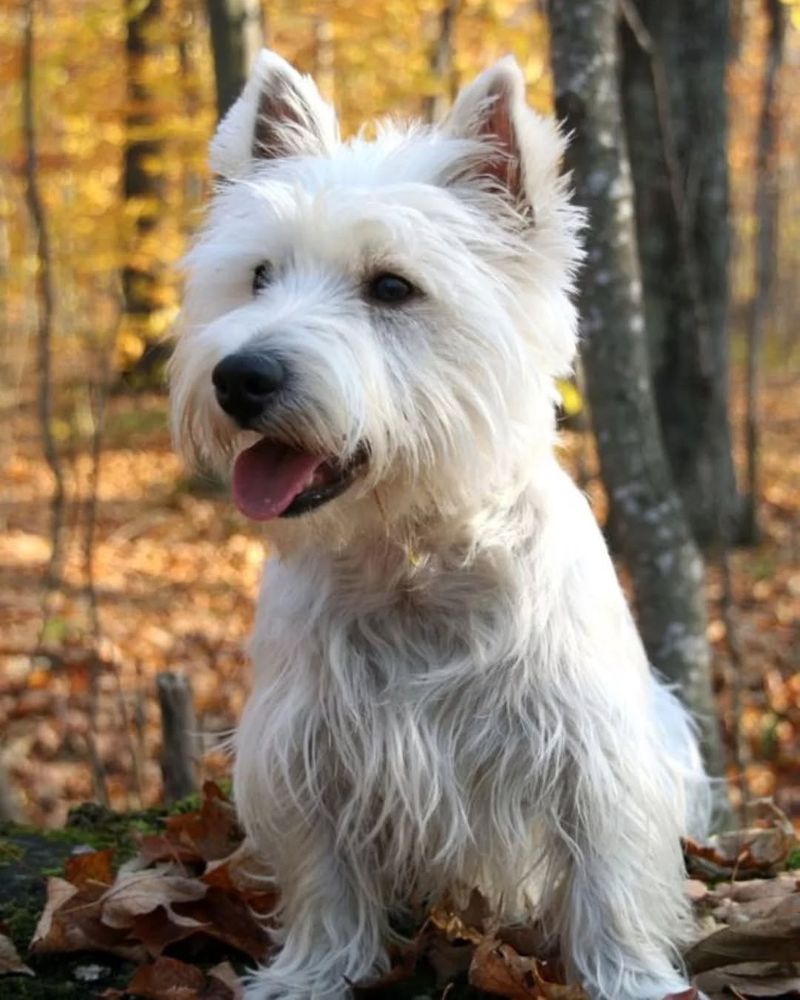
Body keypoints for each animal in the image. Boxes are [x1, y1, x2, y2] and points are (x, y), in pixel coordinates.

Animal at [172, 48, 708, 1000]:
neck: (412, 557)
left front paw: (633, 978)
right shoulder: (304, 747)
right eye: (259, 276)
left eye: (392, 288)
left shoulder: (593, 753)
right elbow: (324, 879)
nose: (240, 376)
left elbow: (609, 878)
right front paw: (310, 973)